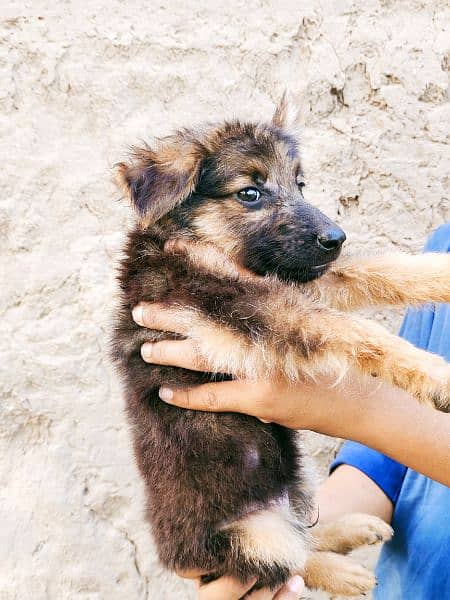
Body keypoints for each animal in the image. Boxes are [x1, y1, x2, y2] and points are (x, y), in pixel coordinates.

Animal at [111, 96, 450, 592]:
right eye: (250, 193)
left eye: (300, 184)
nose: (336, 239)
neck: (189, 242)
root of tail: (177, 555)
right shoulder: (253, 308)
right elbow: (360, 331)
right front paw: (438, 376)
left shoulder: (298, 280)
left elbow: (381, 270)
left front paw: (442, 272)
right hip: (252, 534)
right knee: (289, 560)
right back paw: (346, 572)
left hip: (295, 487)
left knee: (305, 530)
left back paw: (352, 529)